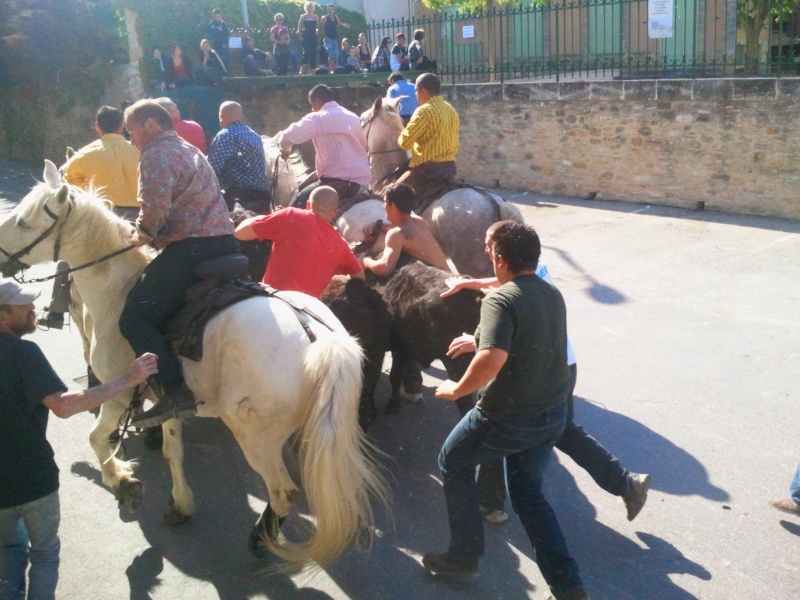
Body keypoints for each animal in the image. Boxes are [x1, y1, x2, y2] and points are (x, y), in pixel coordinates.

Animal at [0, 162, 390, 568]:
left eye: (24, 222)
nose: (0, 256)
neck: (118, 290)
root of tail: (320, 338)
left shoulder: (118, 395)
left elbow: (94, 437)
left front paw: (121, 480)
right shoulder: (168, 399)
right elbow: (173, 449)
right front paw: (181, 503)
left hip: (256, 437)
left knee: (283, 492)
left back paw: (260, 540)